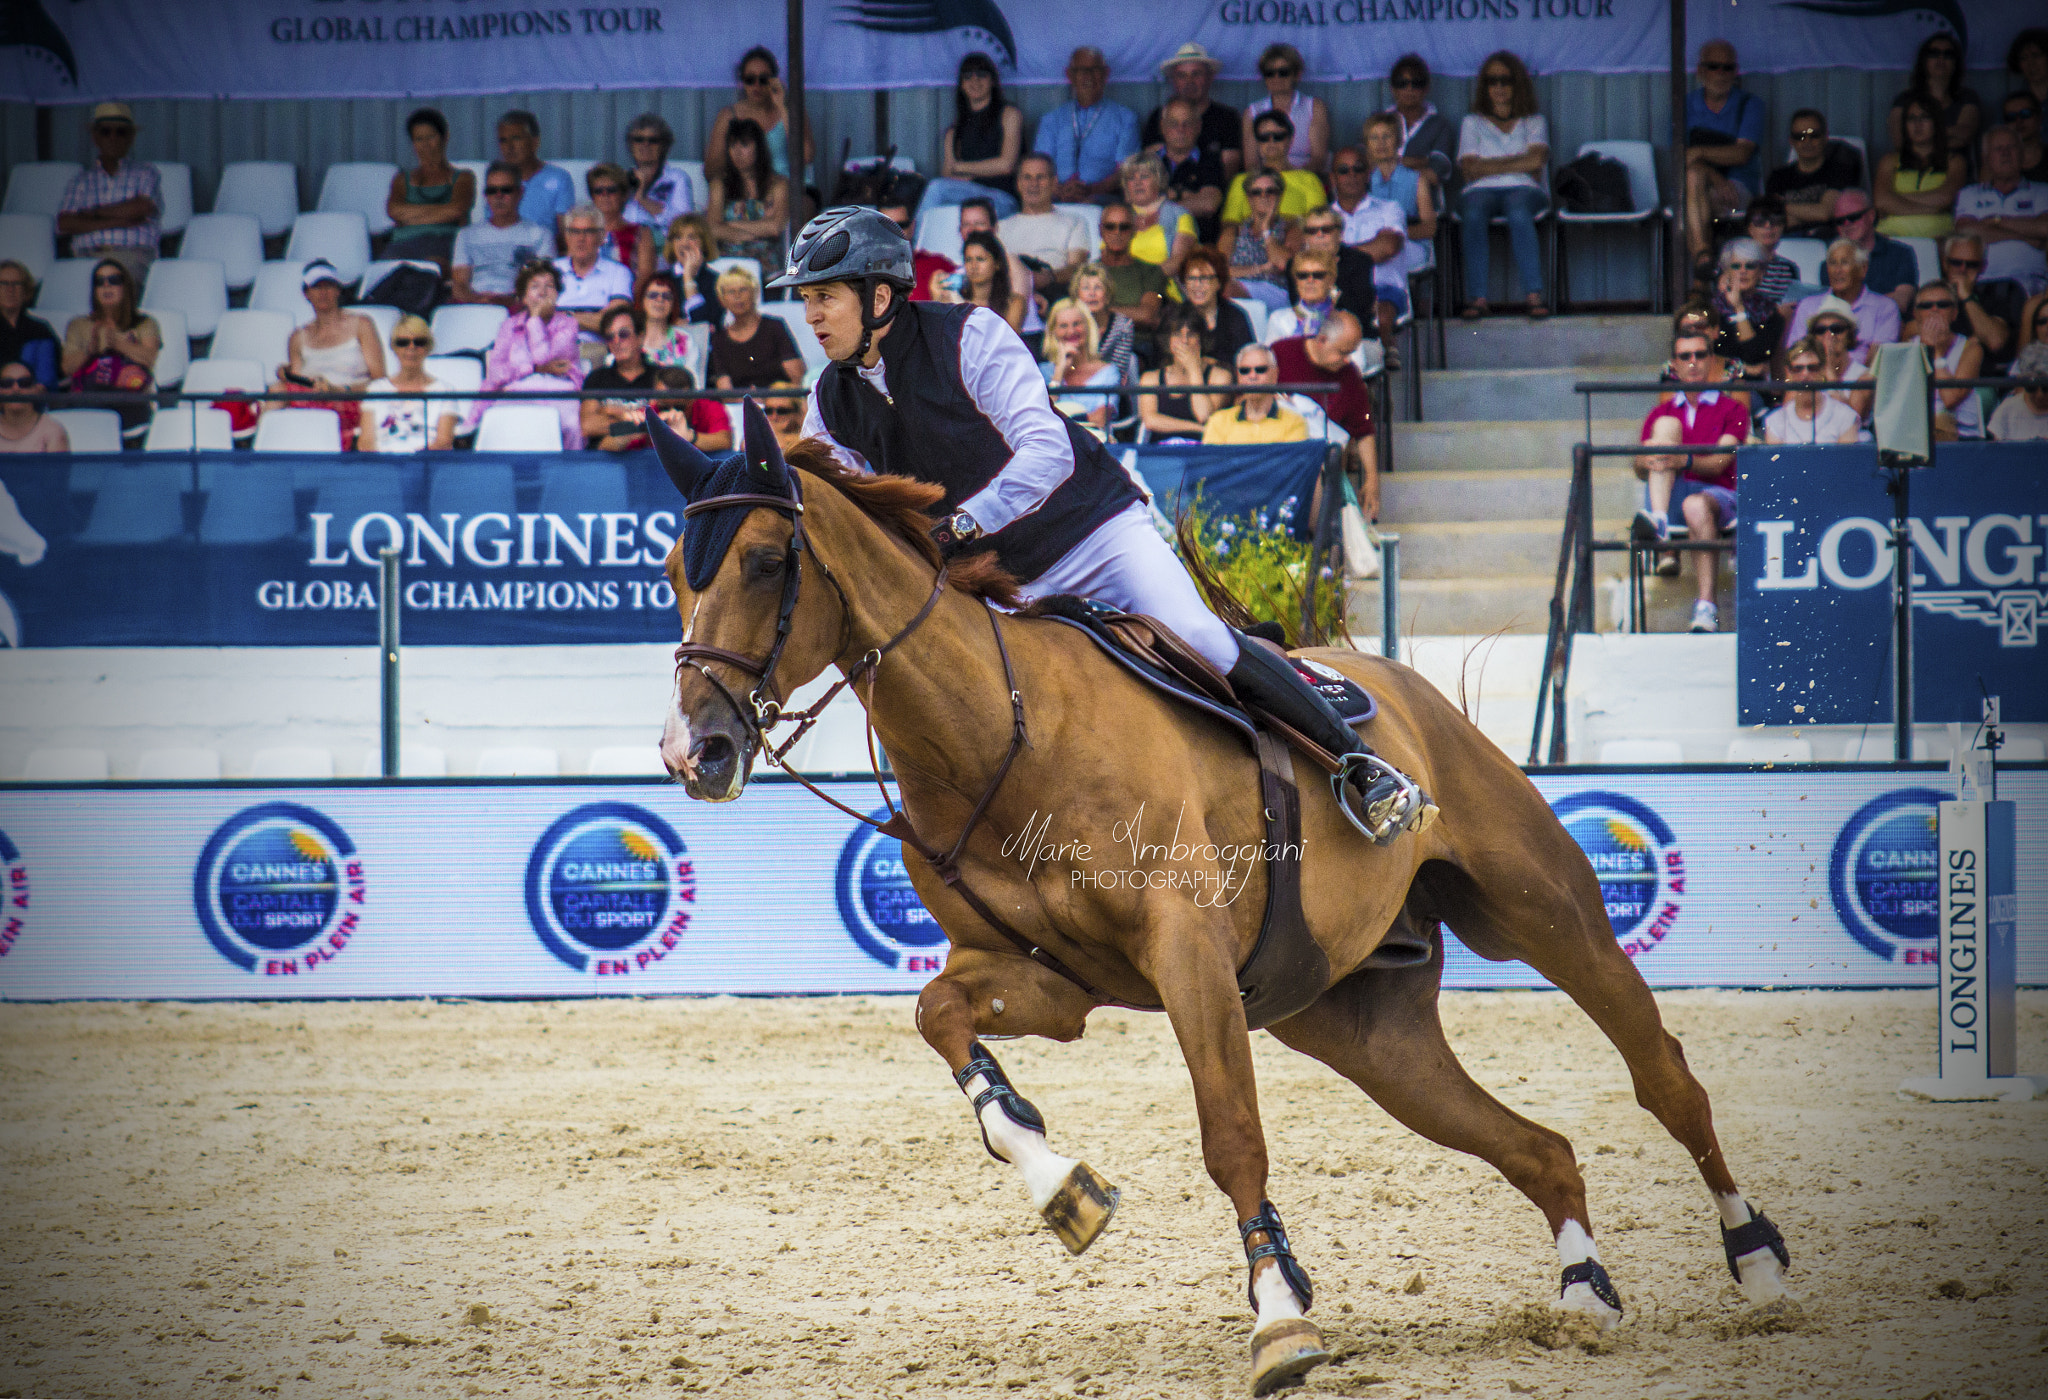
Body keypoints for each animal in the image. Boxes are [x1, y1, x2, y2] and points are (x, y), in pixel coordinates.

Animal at [651, 401, 1794, 1391]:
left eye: (764, 561)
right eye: (670, 572)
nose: (693, 751)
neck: (1001, 727)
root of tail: (1410, 689)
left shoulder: (1185, 952)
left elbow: (1229, 1130)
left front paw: (1279, 1312)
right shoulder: (1050, 980)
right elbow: (941, 1019)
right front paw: (1061, 1187)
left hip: (1548, 915)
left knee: (1664, 1079)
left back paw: (1753, 1255)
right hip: (1365, 1032)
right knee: (1539, 1149)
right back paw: (1583, 1290)